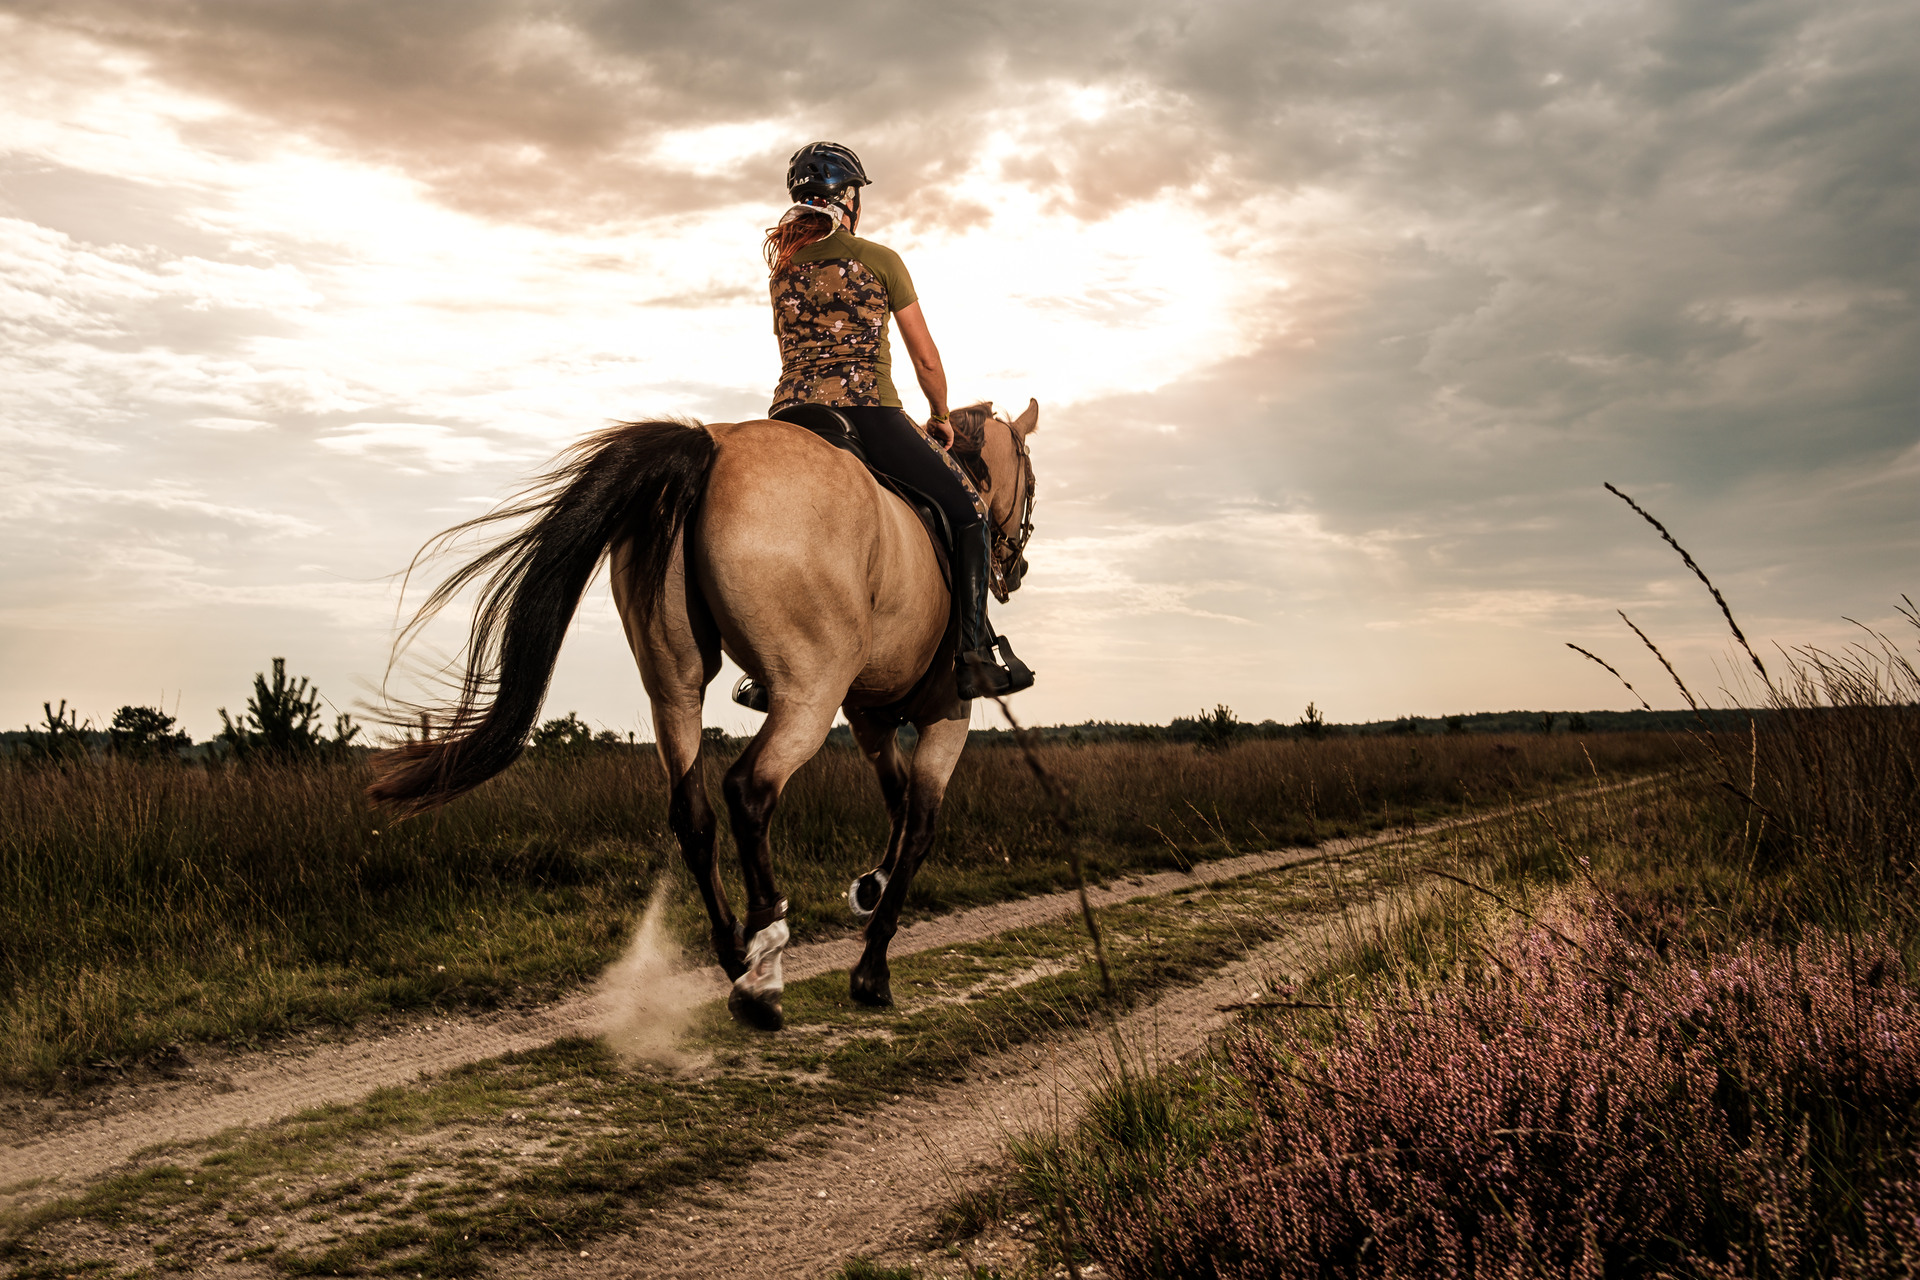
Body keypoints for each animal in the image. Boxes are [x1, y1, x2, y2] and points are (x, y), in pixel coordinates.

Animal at [368, 401, 1044, 1028]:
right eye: (1031, 480)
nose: (1016, 567)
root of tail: (714, 444)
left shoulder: (869, 717)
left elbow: (899, 805)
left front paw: (869, 888)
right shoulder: (945, 714)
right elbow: (921, 827)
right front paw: (872, 968)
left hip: (675, 685)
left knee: (691, 812)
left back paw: (734, 955)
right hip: (809, 691)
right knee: (749, 790)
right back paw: (764, 966)